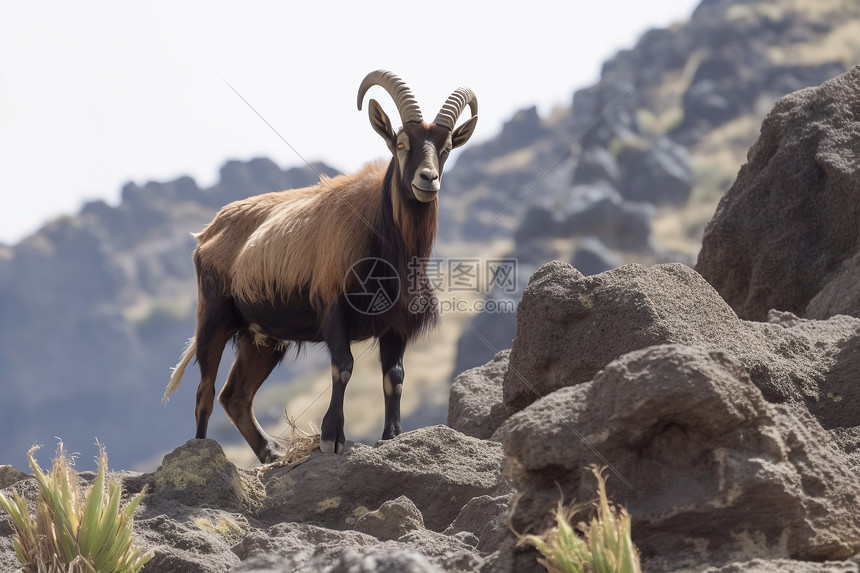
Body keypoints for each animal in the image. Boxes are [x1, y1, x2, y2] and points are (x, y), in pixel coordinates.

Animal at [163, 69, 478, 460]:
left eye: (446, 147)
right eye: (402, 143)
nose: (428, 179)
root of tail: (208, 232)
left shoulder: (396, 323)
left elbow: (395, 376)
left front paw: (392, 436)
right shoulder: (333, 308)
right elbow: (343, 366)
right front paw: (332, 436)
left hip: (262, 338)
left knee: (235, 396)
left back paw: (272, 453)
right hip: (214, 316)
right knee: (205, 392)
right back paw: (202, 452)